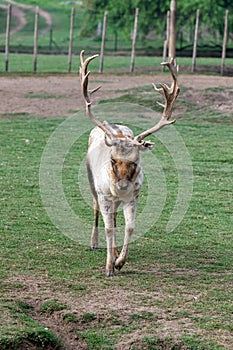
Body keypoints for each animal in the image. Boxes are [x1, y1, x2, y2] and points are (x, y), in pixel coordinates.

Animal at [79, 51, 179, 276]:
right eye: (113, 159)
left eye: (135, 161)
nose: (122, 186)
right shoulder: (104, 194)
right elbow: (108, 227)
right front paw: (109, 267)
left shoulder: (134, 196)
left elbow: (130, 226)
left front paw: (119, 262)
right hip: (92, 183)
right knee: (96, 209)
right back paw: (94, 242)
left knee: (115, 218)